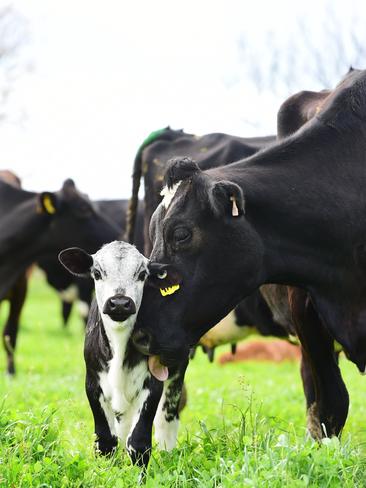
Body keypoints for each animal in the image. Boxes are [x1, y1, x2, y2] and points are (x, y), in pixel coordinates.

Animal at [59, 242, 189, 468]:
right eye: (97, 272)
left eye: (142, 274)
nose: (119, 302)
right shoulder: (92, 382)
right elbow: (105, 441)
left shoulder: (152, 382)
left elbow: (138, 442)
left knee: (167, 418)